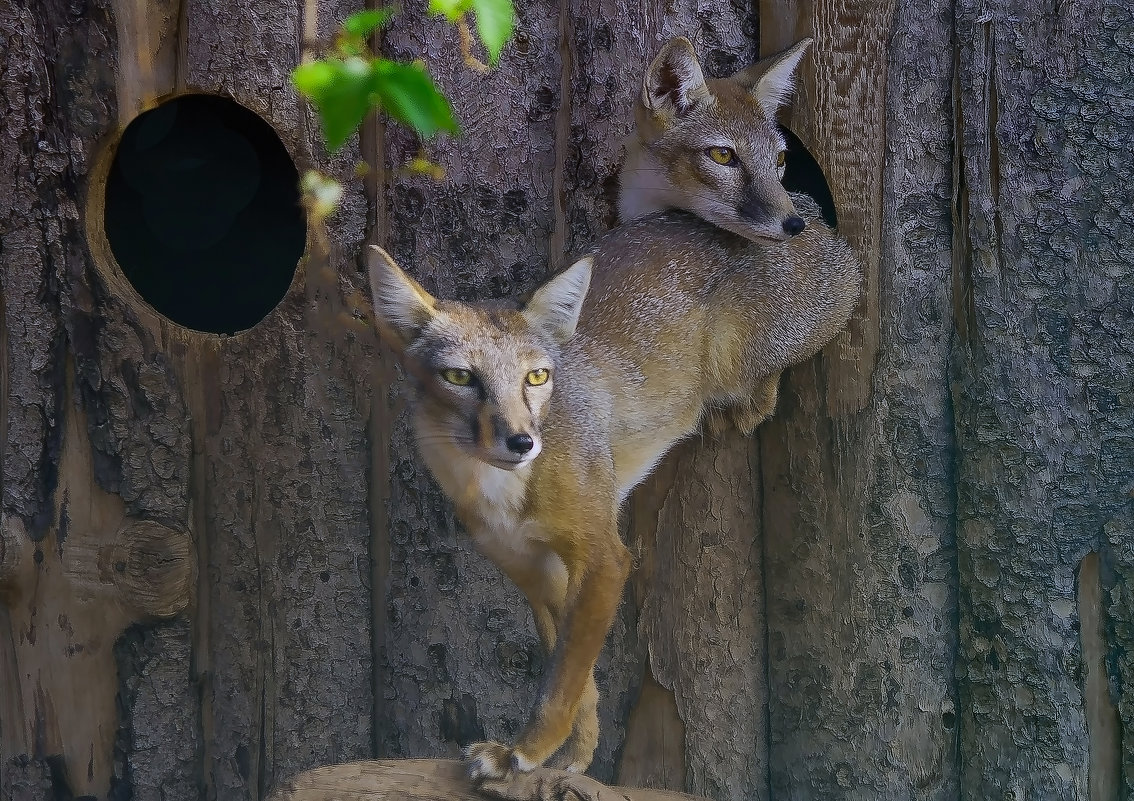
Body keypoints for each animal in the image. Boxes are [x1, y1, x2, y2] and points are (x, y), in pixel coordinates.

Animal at [369, 39, 857, 780]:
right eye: (460, 377)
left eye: (537, 378)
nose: (520, 440)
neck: (497, 491)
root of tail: (826, 229)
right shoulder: (536, 572)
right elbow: (580, 680)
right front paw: (569, 759)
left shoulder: (604, 559)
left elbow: (565, 678)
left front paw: (527, 752)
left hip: (747, 341)